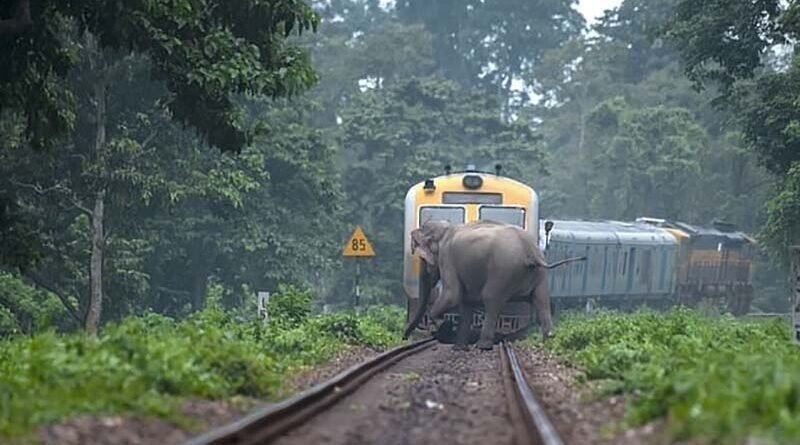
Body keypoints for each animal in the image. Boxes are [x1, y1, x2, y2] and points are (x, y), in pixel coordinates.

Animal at [406, 220, 580, 348]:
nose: (404, 337)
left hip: (502, 270)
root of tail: (529, 250)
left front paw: (444, 325)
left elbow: (452, 295)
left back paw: (482, 345)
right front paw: (459, 347)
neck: (446, 228)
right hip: (539, 274)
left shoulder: (447, 258)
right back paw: (548, 340)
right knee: (542, 299)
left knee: (491, 299)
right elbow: (466, 302)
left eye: (423, 259)